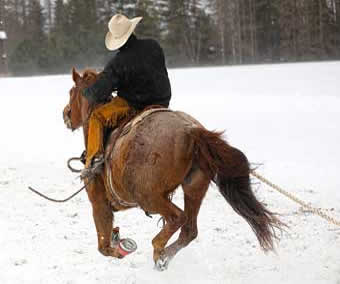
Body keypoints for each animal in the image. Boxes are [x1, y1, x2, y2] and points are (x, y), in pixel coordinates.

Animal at [63, 67, 282, 270]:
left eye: (72, 91)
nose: (66, 114)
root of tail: (191, 131)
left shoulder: (99, 203)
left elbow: (104, 246)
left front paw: (121, 245)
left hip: (149, 197)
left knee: (178, 217)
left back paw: (158, 249)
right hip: (194, 188)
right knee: (189, 229)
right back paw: (164, 255)